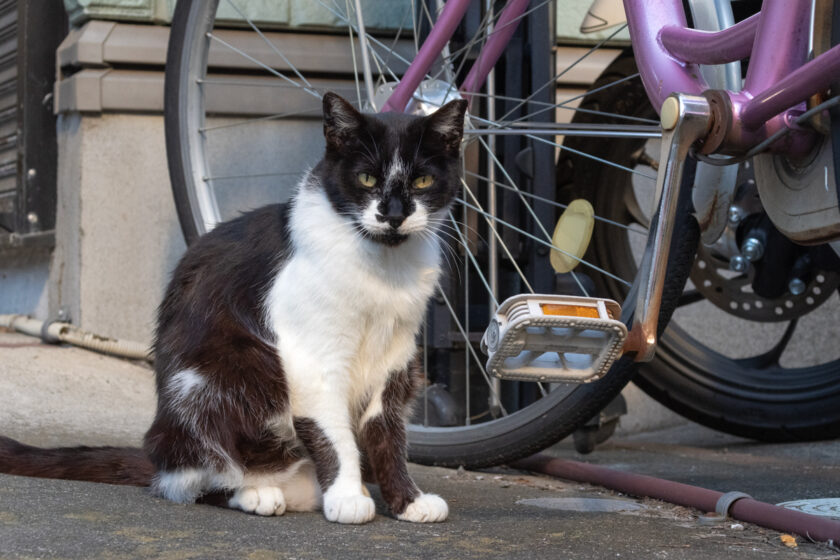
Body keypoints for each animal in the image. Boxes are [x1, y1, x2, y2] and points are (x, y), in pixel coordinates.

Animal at [0, 92, 470, 524]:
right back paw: (254, 492)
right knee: (190, 482)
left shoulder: (395, 359)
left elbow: (388, 434)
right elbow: (334, 433)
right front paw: (348, 497)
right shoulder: (312, 357)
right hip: (217, 378)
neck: (383, 268)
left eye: (423, 182)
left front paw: (407, 501)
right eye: (368, 178)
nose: (393, 215)